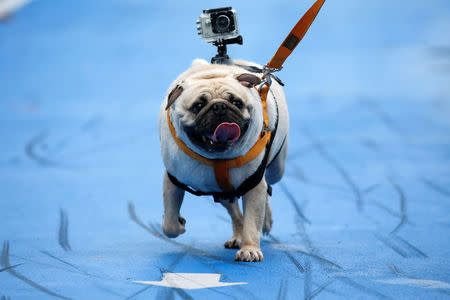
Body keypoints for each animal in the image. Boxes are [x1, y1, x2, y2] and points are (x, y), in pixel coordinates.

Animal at [160, 58, 290, 260]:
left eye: (236, 102)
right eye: (198, 106)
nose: (219, 106)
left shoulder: (253, 185)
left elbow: (252, 221)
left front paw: (250, 249)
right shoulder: (173, 181)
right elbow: (169, 223)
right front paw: (177, 224)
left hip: (277, 169)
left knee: (267, 185)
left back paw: (265, 221)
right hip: (222, 192)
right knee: (235, 212)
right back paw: (238, 235)